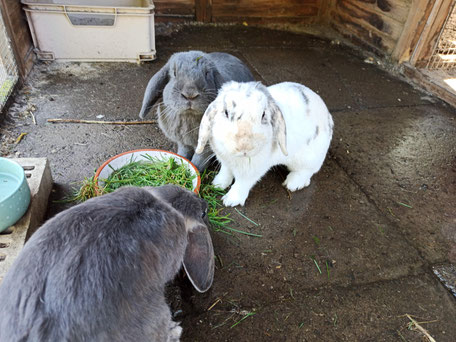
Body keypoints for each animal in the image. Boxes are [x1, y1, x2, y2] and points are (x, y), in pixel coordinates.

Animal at [194, 81, 334, 207]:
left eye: (263, 115)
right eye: (226, 113)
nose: (244, 147)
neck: (238, 158)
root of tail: (328, 117)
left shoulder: (252, 171)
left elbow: (242, 184)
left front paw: (230, 201)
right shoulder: (225, 161)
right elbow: (225, 171)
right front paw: (217, 184)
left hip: (308, 159)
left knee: (307, 172)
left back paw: (293, 183)